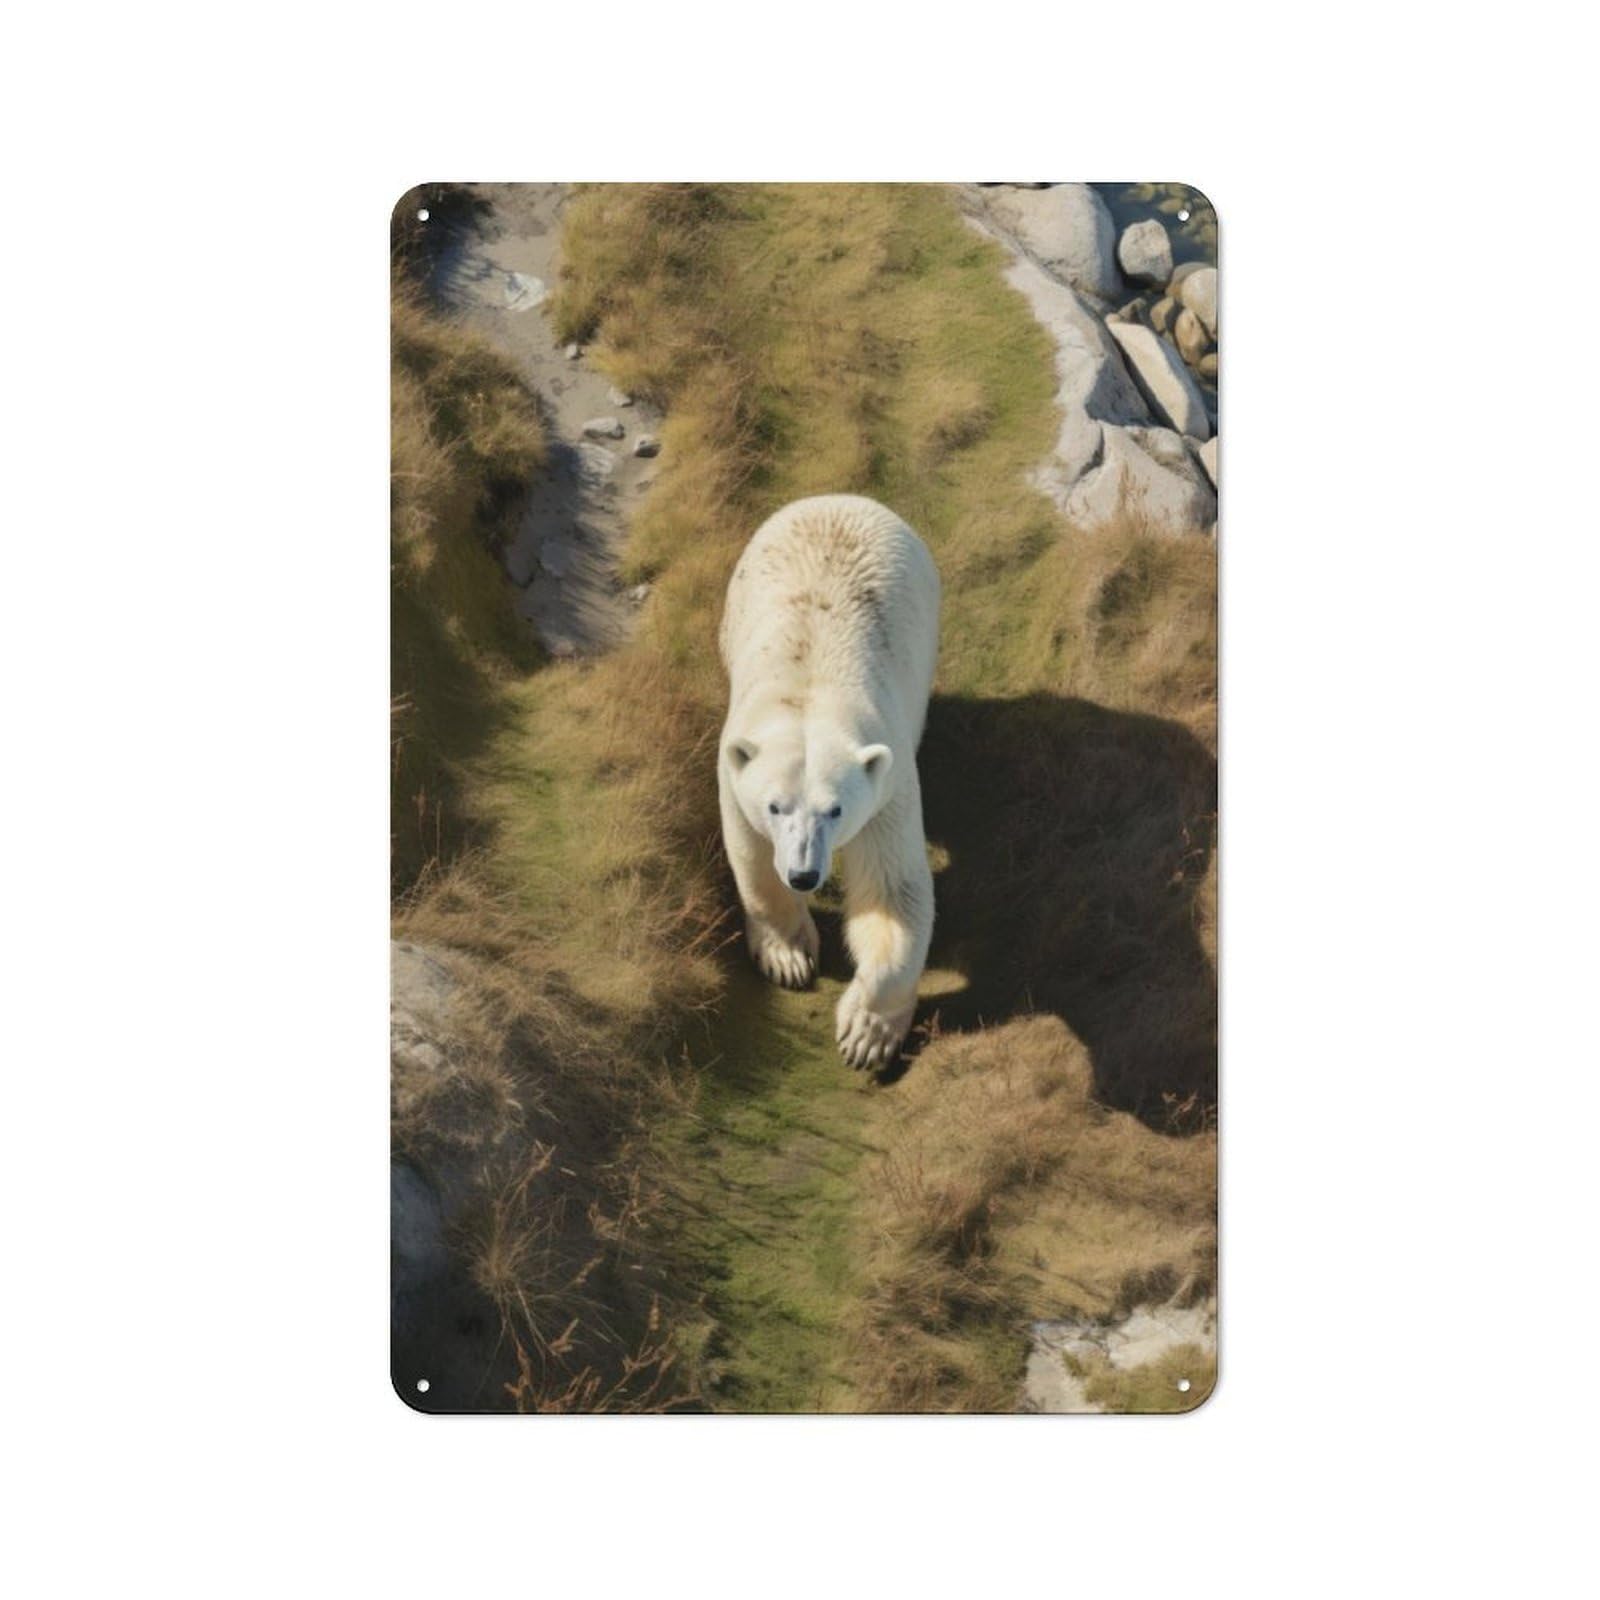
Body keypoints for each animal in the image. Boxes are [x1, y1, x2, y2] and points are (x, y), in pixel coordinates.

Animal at [718, 494, 941, 1070]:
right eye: (775, 807)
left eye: (835, 810)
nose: (803, 875)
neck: (809, 688)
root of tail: (840, 499)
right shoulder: (733, 779)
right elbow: (753, 861)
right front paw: (788, 956)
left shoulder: (888, 789)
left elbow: (891, 890)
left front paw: (868, 1032)